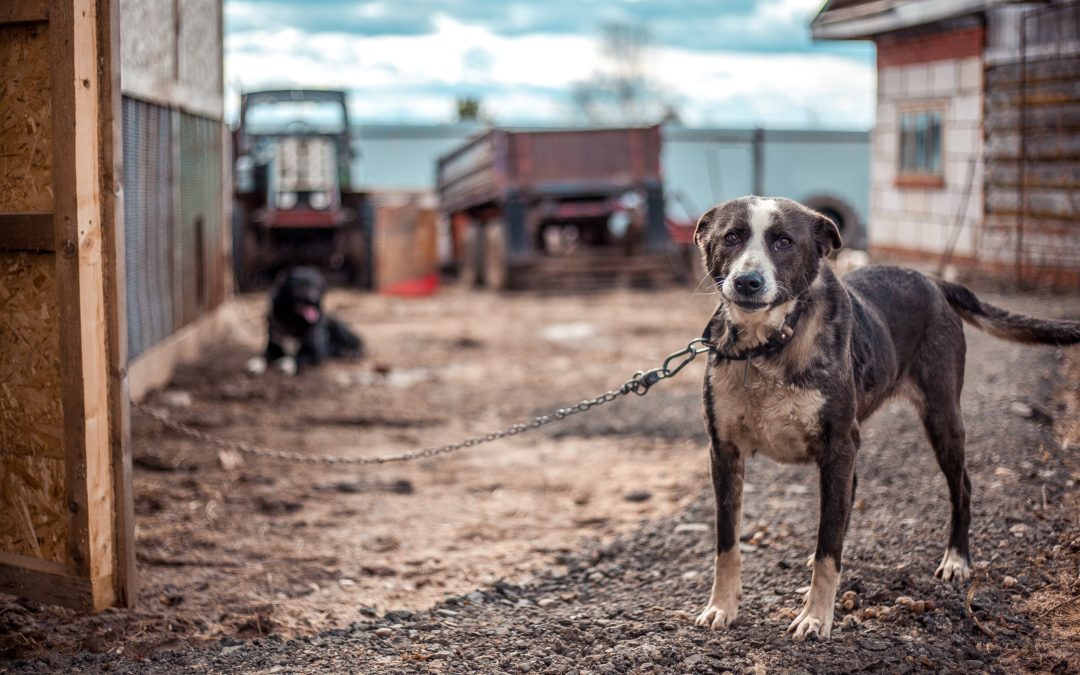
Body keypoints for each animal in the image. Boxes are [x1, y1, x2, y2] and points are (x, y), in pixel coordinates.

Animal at [691, 197, 1080, 639]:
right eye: (731, 237)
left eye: (784, 241)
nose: (747, 282)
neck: (767, 346)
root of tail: (932, 281)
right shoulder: (724, 451)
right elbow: (727, 542)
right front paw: (722, 606)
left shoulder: (838, 446)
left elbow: (827, 549)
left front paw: (815, 616)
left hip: (941, 417)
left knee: (961, 485)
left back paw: (956, 559)